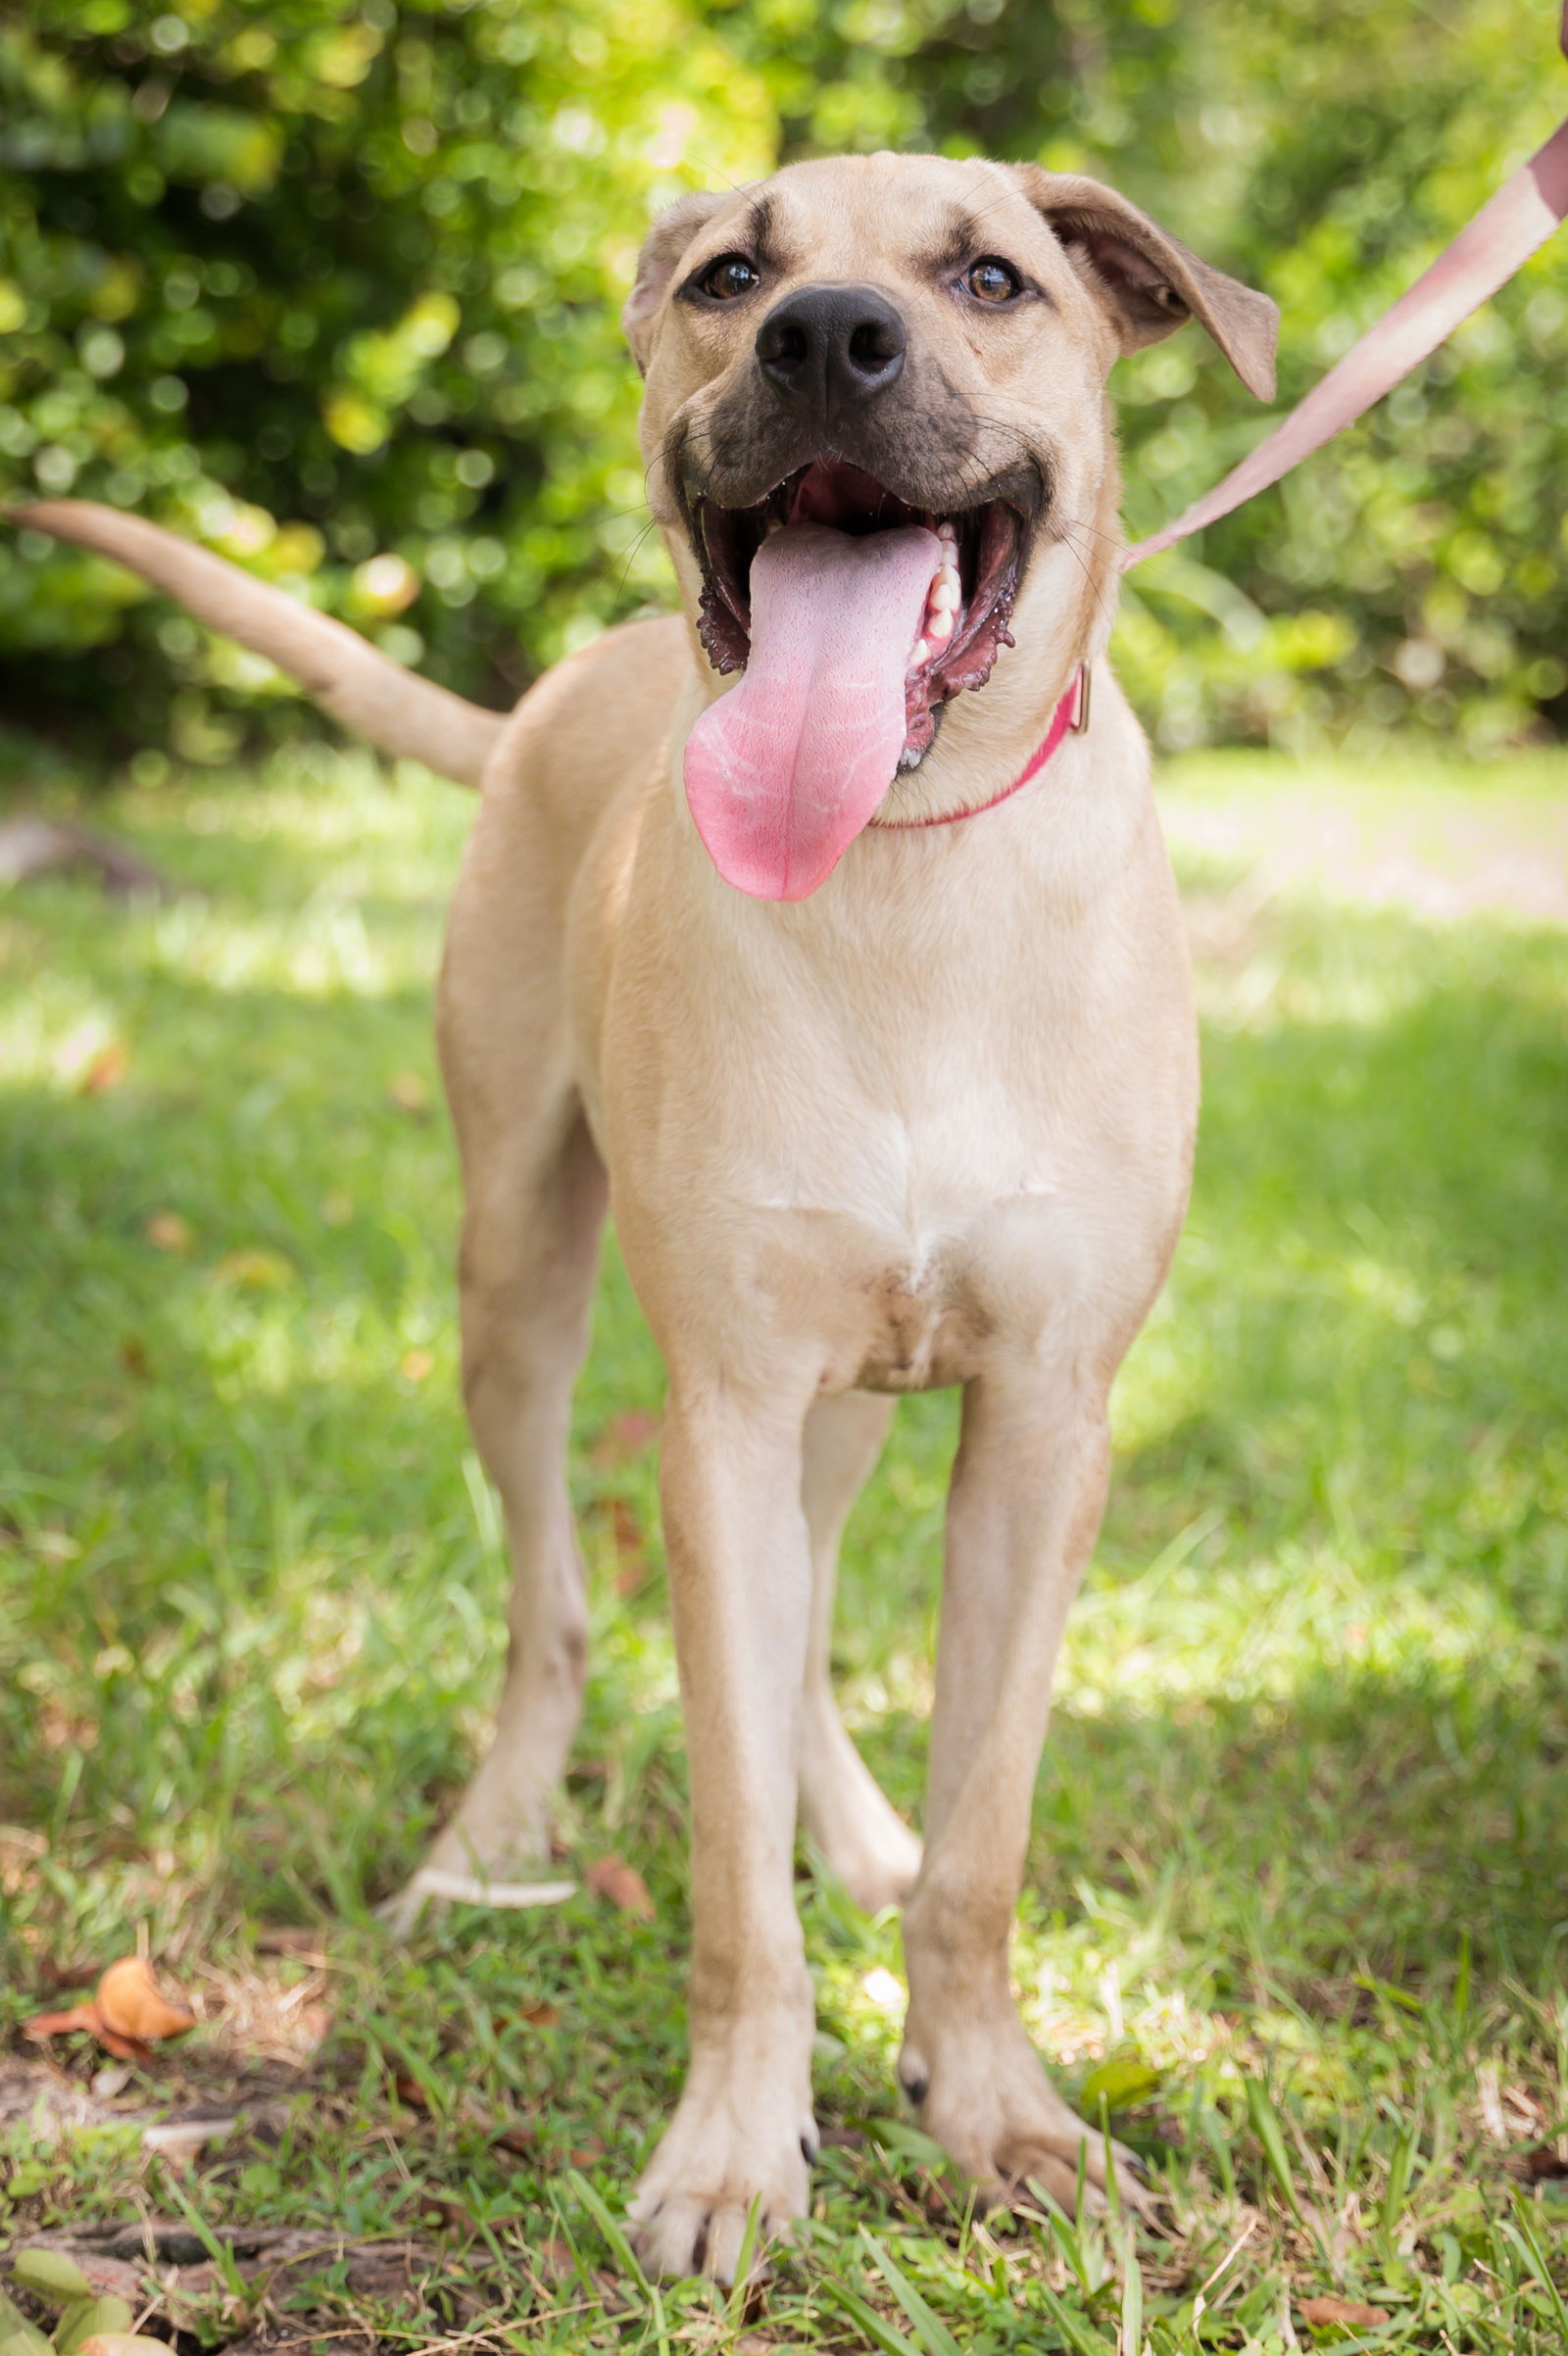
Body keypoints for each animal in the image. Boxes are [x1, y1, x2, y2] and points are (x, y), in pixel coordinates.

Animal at [21, 147, 1271, 2281]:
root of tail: (566, 672)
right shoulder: (721, 1411)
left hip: (842, 1403)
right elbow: (726, 1865)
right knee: (552, 1603)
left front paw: (995, 2108)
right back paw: (486, 1844)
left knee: (811, 1624)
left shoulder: (1041, 1421)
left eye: (990, 279)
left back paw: (858, 1828)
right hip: (517, 1279)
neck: (903, 866)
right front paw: (736, 2153)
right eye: (730, 275)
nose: (827, 338)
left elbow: (983, 1840)